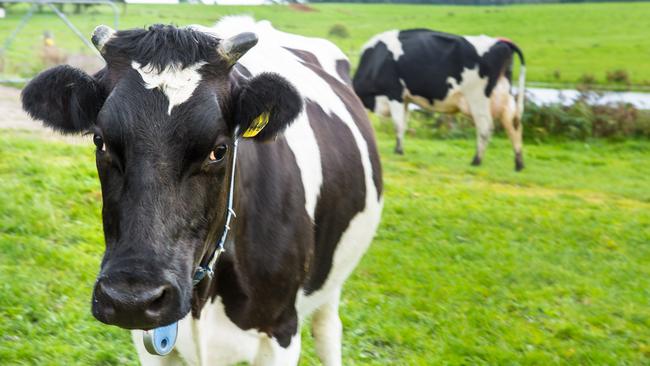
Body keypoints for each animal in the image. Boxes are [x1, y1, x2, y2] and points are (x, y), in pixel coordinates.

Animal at [352, 29, 524, 171]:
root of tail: (501, 42)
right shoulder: (405, 99)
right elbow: (404, 124)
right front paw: (399, 148)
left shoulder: (395, 93)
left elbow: (397, 124)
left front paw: (398, 151)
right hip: (504, 96)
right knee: (513, 125)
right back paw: (518, 164)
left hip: (478, 98)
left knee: (485, 127)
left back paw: (476, 160)